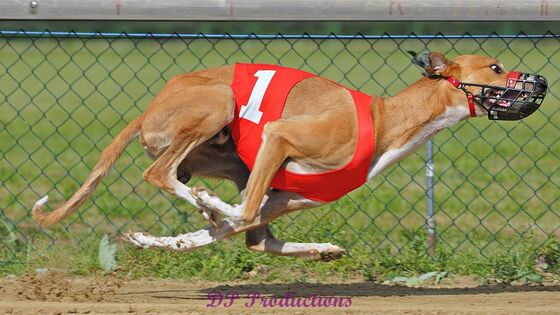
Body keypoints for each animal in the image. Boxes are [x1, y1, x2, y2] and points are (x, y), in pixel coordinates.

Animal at [31, 51, 548, 262]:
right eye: (495, 67)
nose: (541, 82)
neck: (385, 120)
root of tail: (148, 108)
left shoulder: (284, 196)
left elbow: (236, 231)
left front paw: (157, 239)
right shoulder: (279, 138)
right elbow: (240, 214)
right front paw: (208, 211)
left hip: (232, 159)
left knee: (250, 235)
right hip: (218, 103)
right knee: (160, 173)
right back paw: (202, 201)